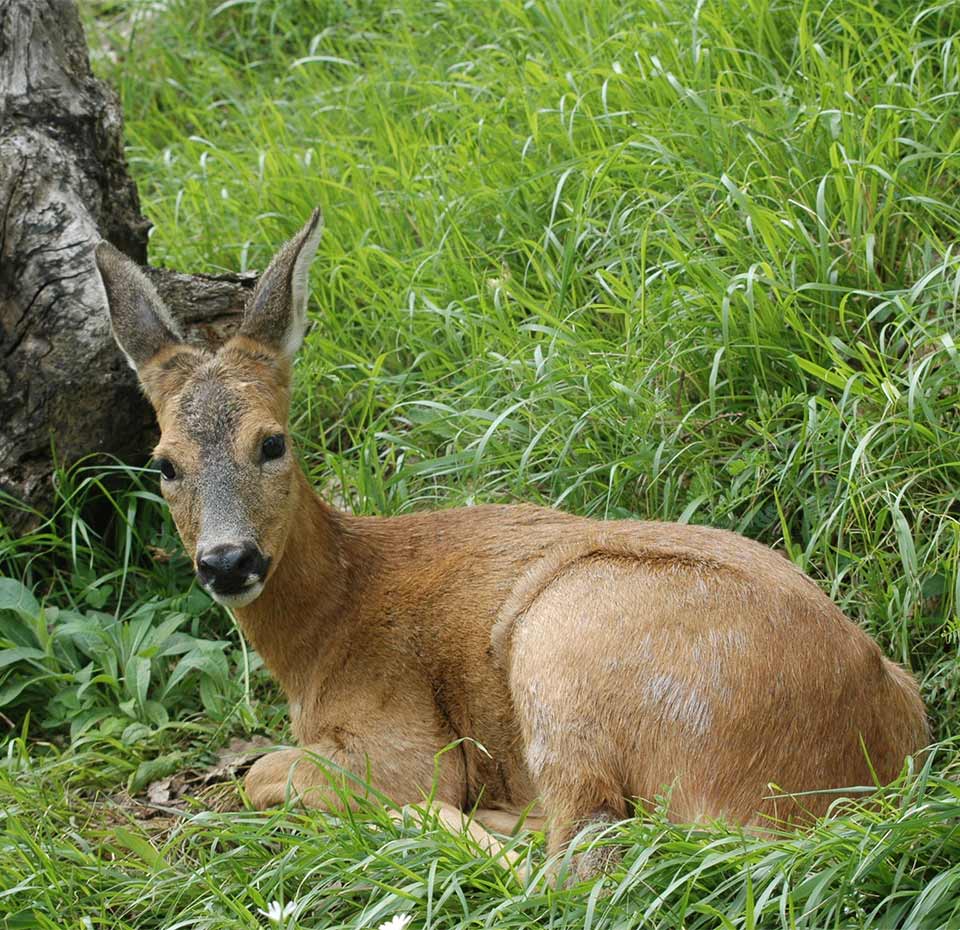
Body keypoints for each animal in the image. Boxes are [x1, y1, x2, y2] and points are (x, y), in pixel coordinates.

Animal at [94, 208, 928, 876]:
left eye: (272, 442)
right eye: (164, 464)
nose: (227, 560)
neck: (327, 629)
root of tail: (866, 773)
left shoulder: (402, 744)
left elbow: (262, 772)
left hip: (568, 644)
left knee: (582, 862)